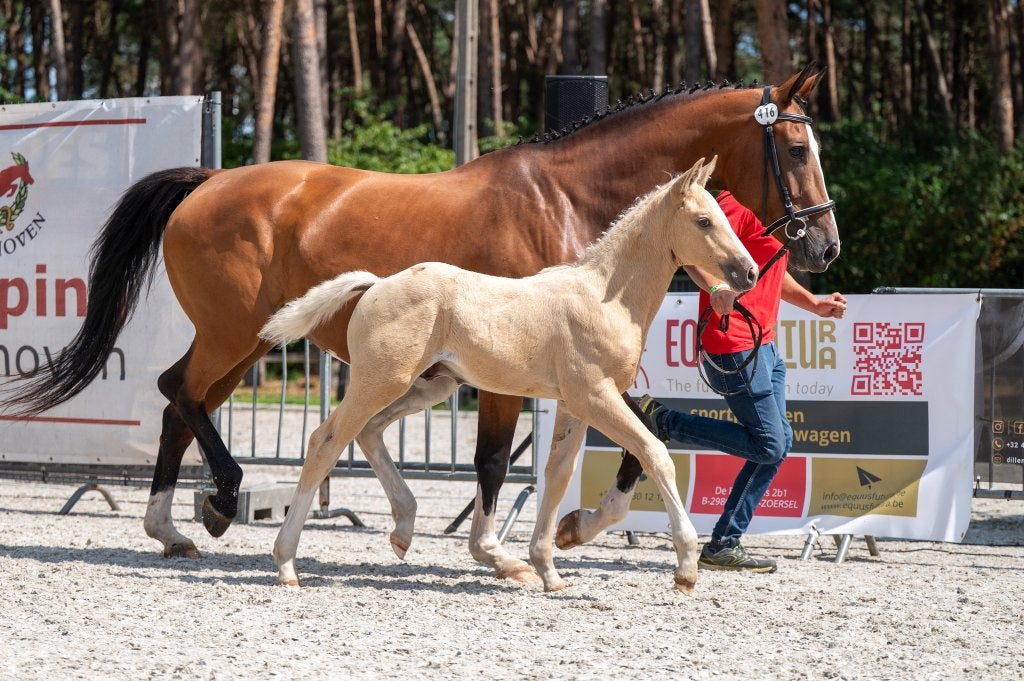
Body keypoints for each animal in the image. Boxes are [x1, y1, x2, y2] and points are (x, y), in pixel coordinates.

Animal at [259, 158, 756, 591]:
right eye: (704, 221)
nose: (748, 272)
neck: (604, 297)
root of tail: (377, 284)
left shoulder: (574, 403)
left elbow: (558, 474)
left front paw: (549, 568)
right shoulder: (595, 395)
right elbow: (654, 454)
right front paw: (686, 570)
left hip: (428, 386)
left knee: (368, 432)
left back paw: (402, 530)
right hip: (378, 382)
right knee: (325, 441)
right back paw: (286, 564)